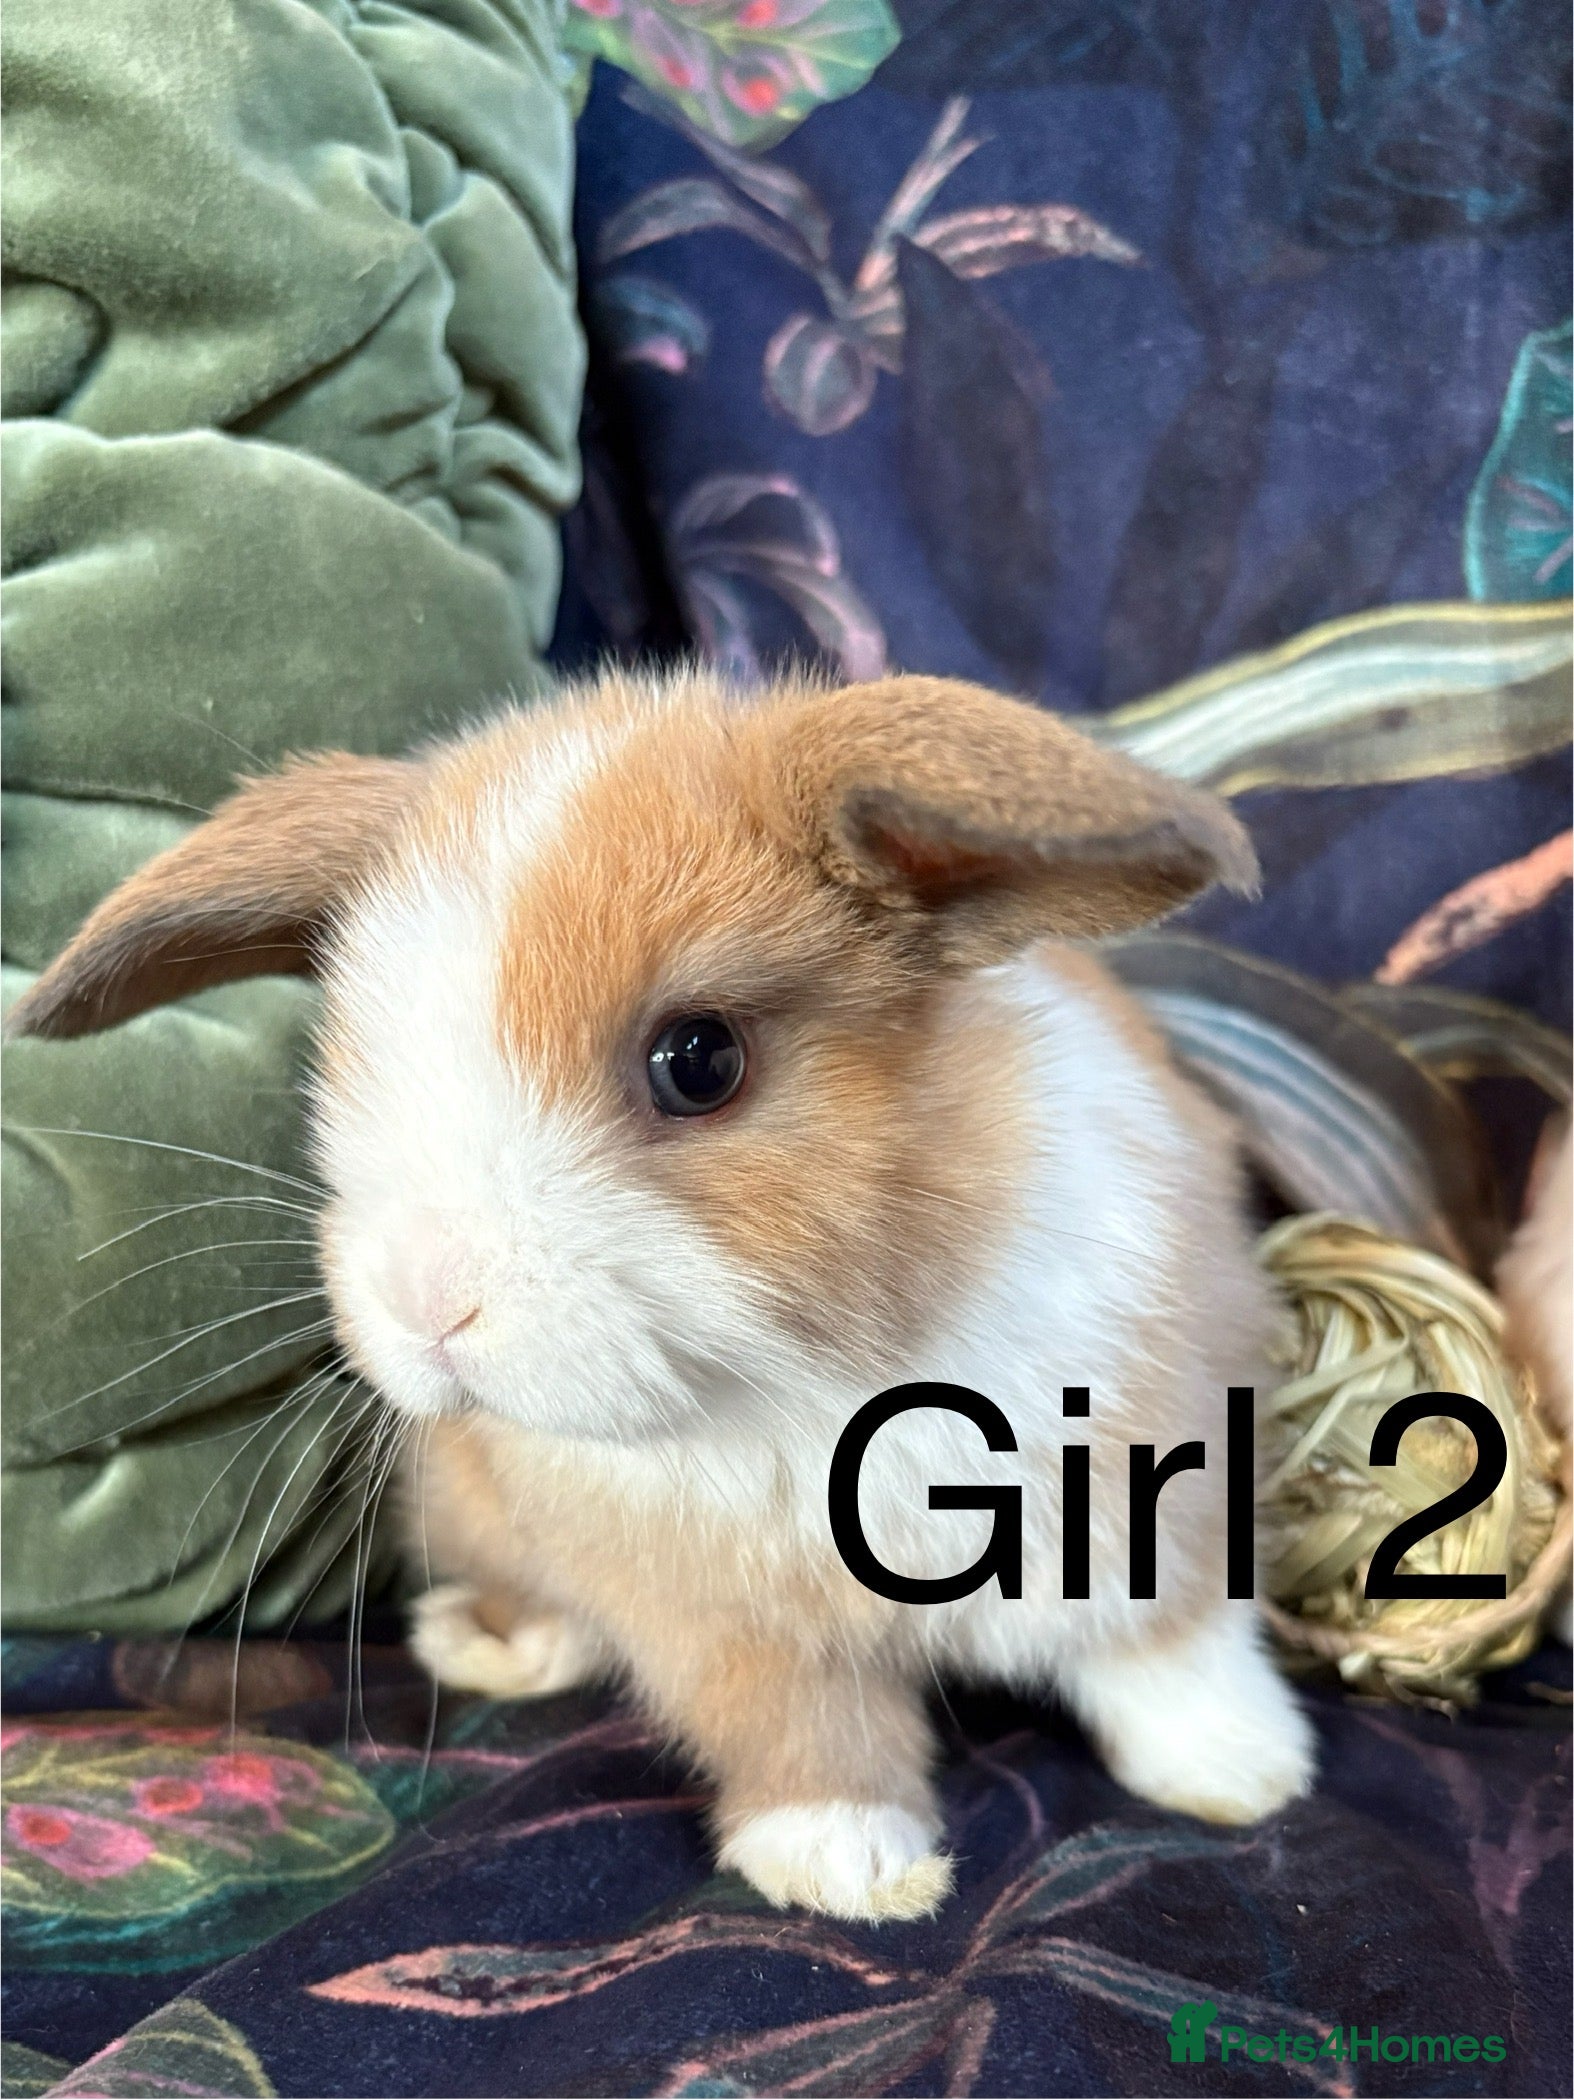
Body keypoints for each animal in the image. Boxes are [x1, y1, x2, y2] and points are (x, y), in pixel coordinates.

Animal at [10, 667, 1316, 1920]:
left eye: (699, 1060)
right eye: (347, 1059)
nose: (428, 1300)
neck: (824, 1368)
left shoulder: (1157, 1485)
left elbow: (1168, 1643)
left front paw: (1242, 1775)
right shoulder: (716, 1625)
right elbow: (797, 1723)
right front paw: (846, 1870)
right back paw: (493, 1647)